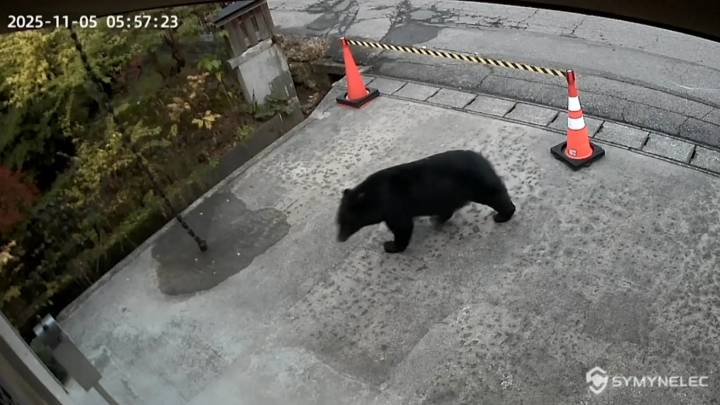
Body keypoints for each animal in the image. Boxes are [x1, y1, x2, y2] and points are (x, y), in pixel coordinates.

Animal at [336, 150, 516, 253]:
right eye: (338, 221)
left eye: (346, 222)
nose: (339, 238)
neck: (374, 197)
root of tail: (484, 160)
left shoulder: (393, 207)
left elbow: (403, 227)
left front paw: (391, 246)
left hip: (477, 184)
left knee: (496, 196)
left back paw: (503, 215)